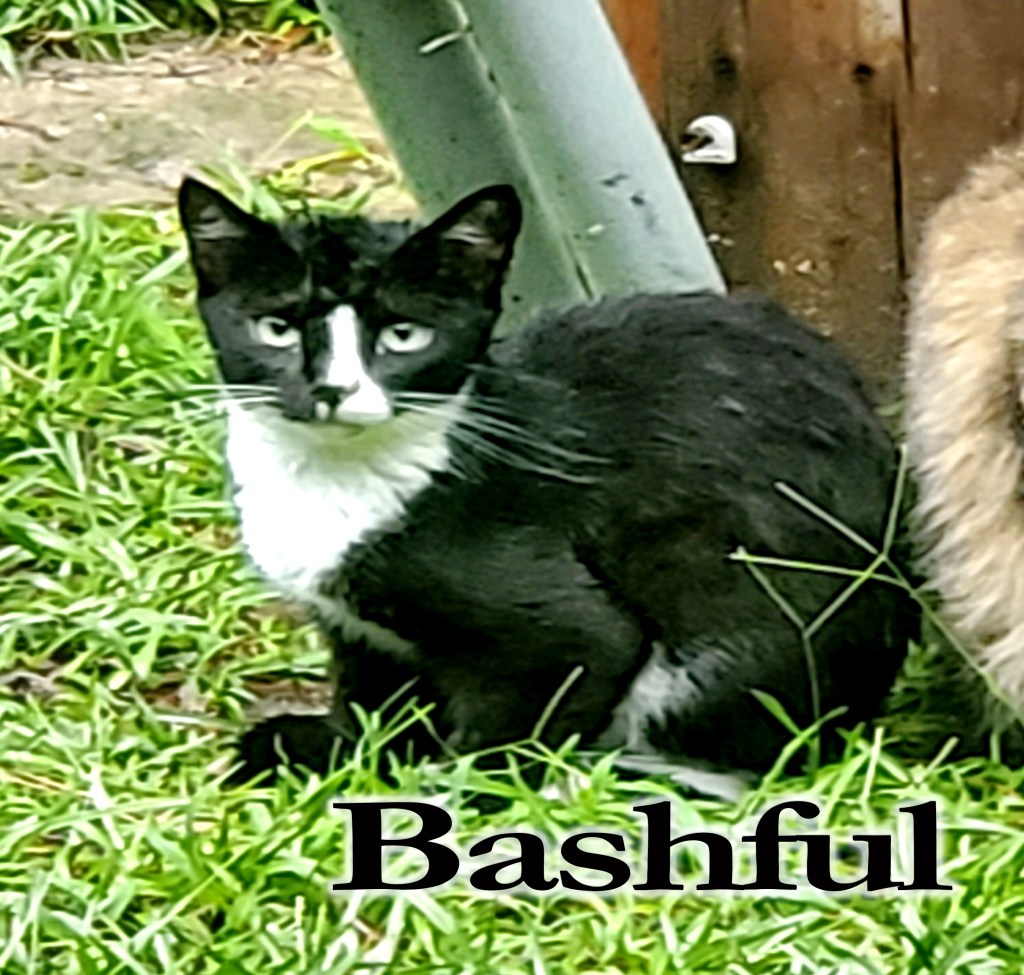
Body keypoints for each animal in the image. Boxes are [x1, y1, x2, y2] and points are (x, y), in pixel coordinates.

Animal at [178, 177, 914, 785]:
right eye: (275, 328)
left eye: (403, 336)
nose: (332, 389)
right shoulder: (358, 633)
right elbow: (373, 701)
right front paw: (340, 749)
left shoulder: (564, 637)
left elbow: (530, 709)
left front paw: (454, 793)